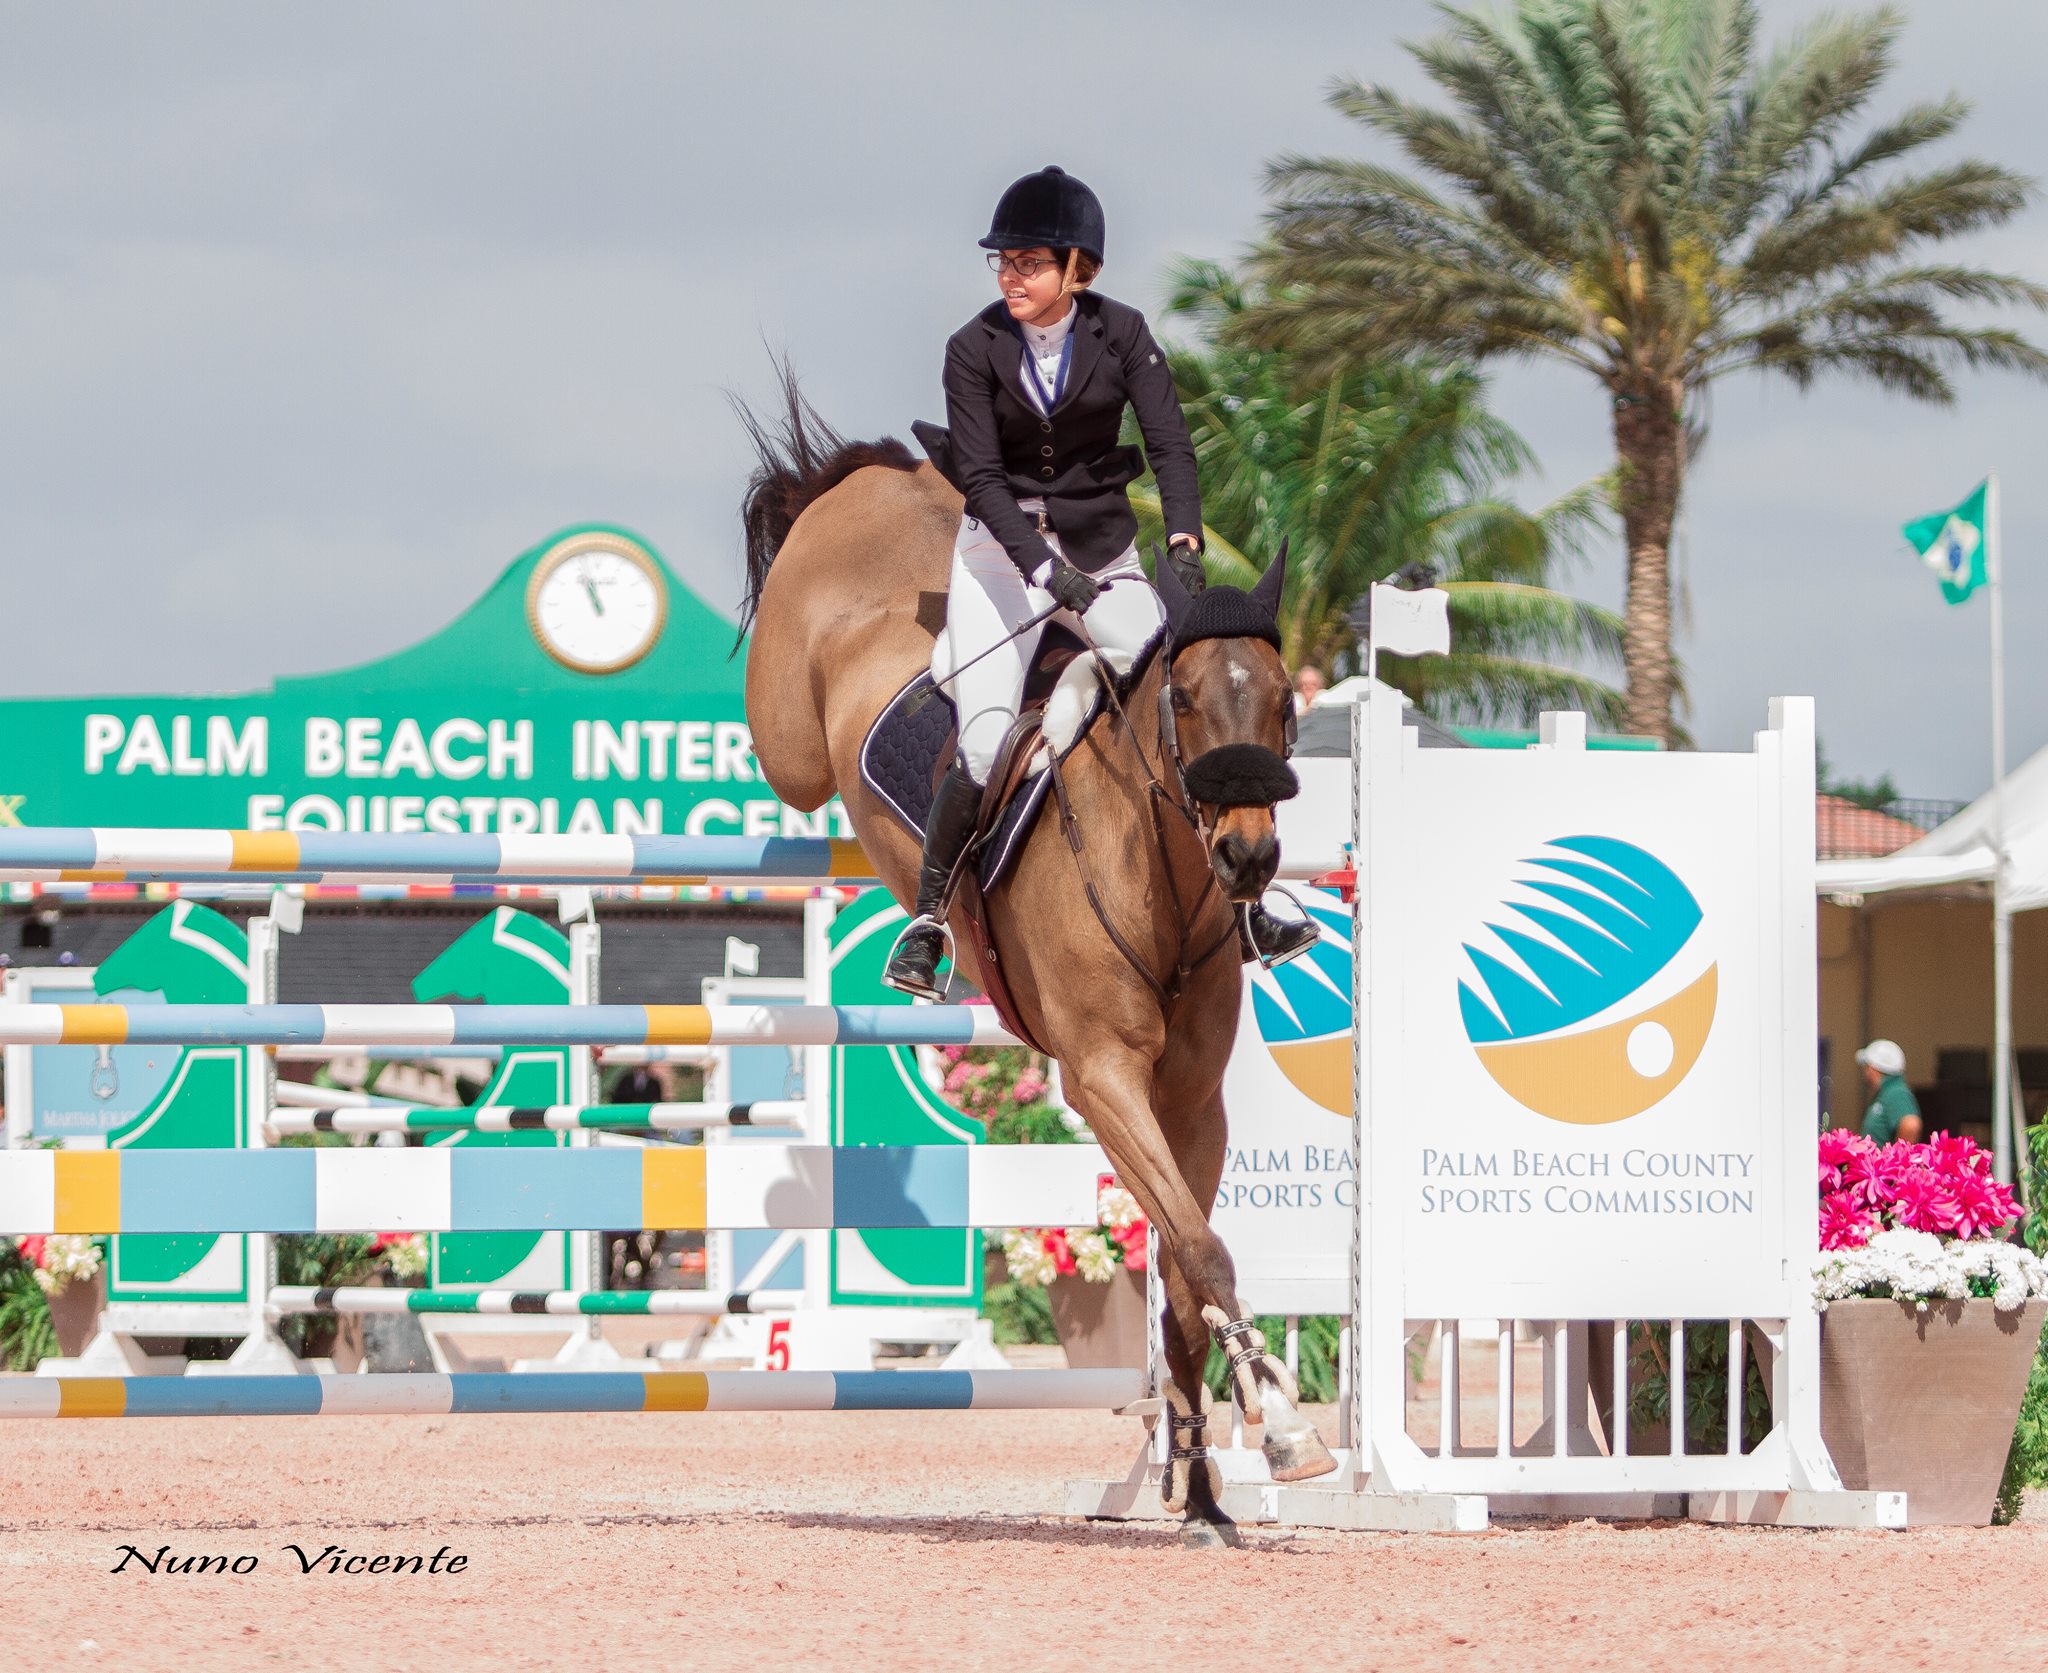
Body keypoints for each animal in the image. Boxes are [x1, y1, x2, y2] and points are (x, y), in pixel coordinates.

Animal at [729, 374, 1335, 1539]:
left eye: (1286, 702)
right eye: (1183, 698)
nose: (1248, 857)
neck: (1159, 876)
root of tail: (867, 482)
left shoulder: (1189, 1097)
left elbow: (1183, 1272)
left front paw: (1202, 1489)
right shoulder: (1101, 1078)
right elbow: (1202, 1249)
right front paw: (1281, 1423)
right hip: (787, 734)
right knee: (787, 743)